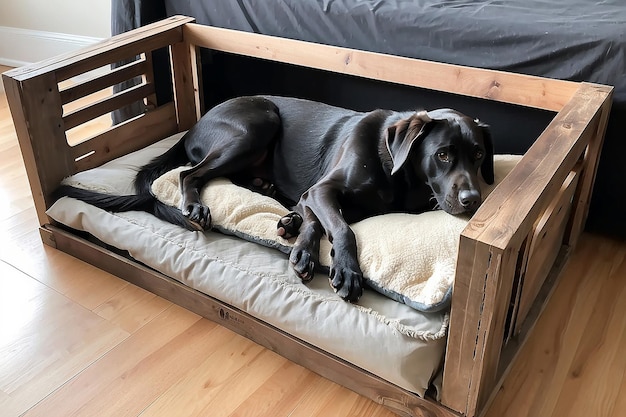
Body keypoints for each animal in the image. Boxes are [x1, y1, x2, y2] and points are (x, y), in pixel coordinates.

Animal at [56, 96, 490, 300]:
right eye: (443, 155)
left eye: (479, 155)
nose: (473, 199)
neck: (395, 169)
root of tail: (195, 124)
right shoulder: (323, 190)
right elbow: (343, 230)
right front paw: (346, 270)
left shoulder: (320, 196)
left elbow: (318, 220)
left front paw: (301, 243)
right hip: (257, 123)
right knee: (189, 173)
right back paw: (196, 205)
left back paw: (275, 201)